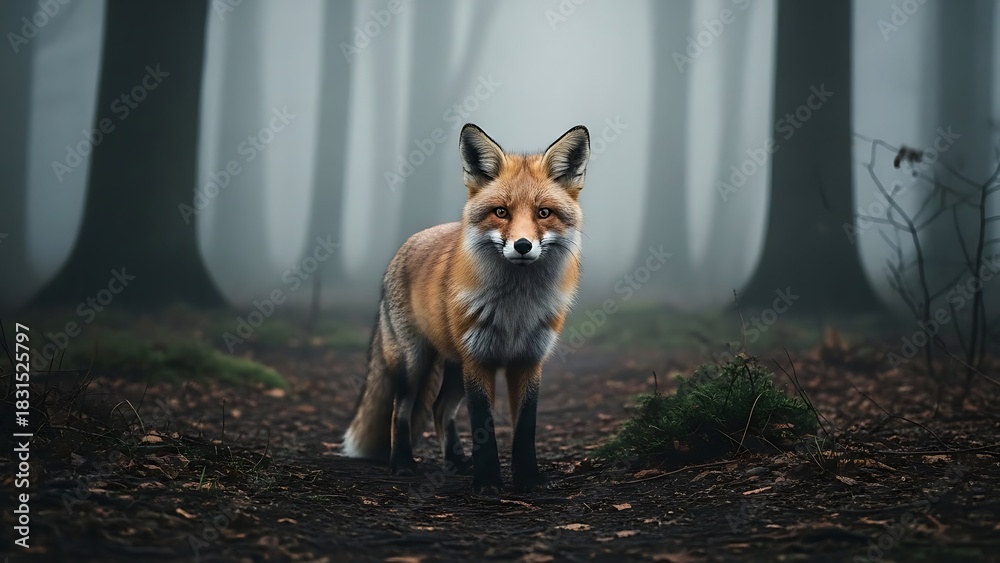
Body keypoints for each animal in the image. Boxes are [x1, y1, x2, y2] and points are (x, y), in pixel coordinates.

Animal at [342, 123, 590, 494]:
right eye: (501, 212)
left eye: (543, 213)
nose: (522, 245)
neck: (515, 310)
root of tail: (406, 244)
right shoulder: (479, 360)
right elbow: (482, 425)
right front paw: (487, 482)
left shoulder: (529, 361)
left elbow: (525, 428)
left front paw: (527, 479)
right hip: (414, 362)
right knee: (401, 411)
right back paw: (402, 463)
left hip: (453, 367)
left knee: (439, 408)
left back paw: (456, 461)